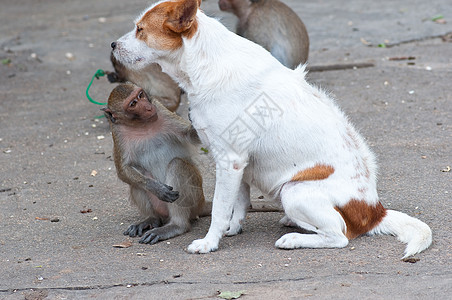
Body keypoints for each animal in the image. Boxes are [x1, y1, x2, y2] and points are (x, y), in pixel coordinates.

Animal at [103, 83, 204, 245]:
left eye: (140, 95)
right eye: (133, 104)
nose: (148, 108)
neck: (142, 125)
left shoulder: (160, 108)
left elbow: (190, 136)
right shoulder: (116, 131)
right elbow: (123, 169)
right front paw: (156, 188)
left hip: (195, 198)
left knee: (177, 164)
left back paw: (177, 226)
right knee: (136, 180)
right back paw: (151, 219)